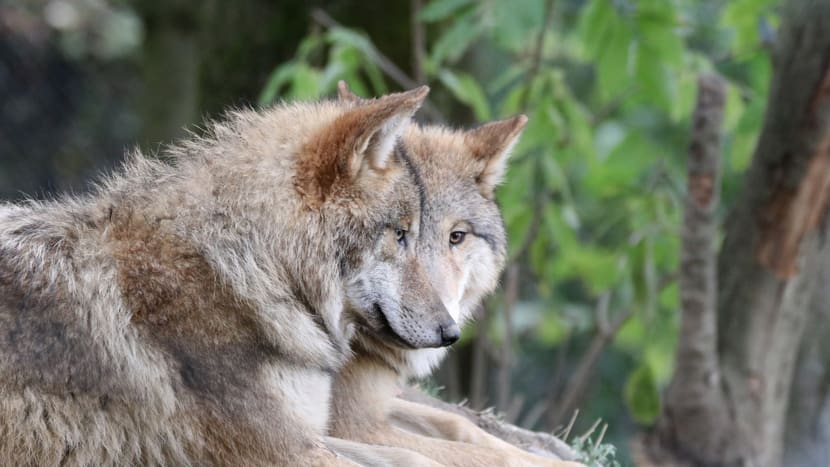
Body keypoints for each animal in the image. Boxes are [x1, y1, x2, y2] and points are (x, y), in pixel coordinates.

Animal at [0, 86, 456, 466]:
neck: (249, 268)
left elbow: (416, 457)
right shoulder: (283, 450)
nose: (451, 332)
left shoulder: (309, 433)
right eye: (400, 234)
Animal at [328, 84, 580, 467]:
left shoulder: (381, 405)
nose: (445, 328)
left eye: (456, 236)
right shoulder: (354, 424)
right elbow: (482, 455)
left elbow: (461, 425)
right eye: (397, 235)